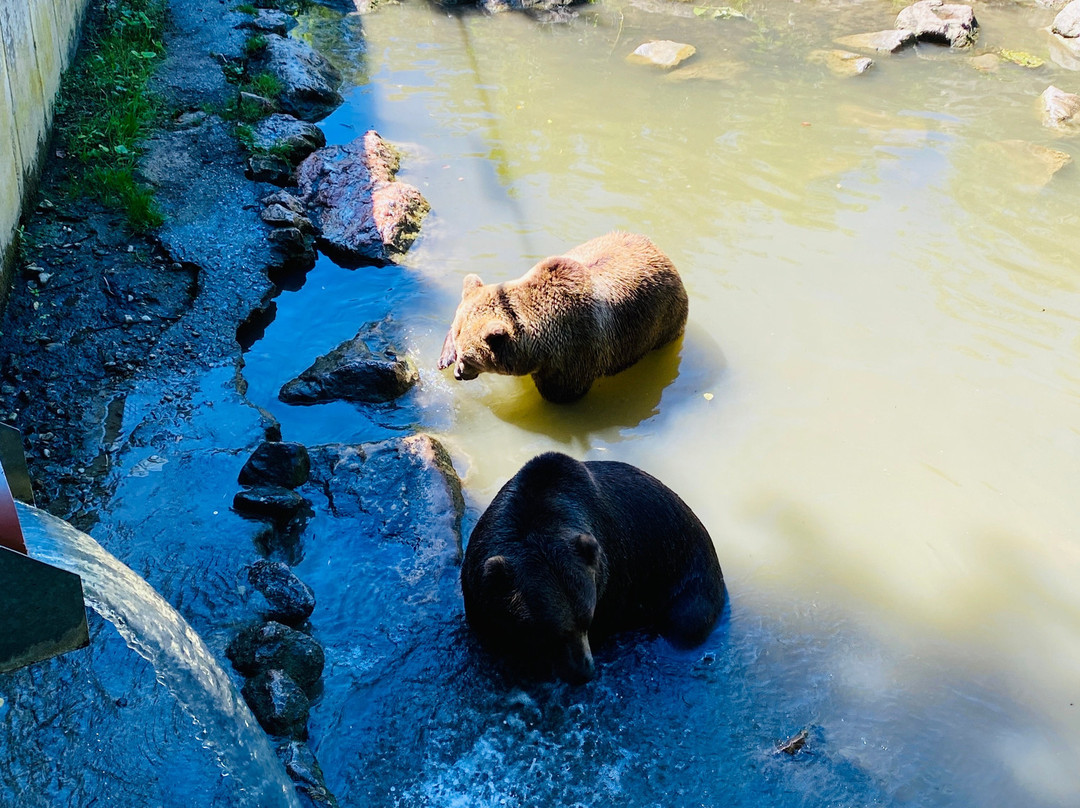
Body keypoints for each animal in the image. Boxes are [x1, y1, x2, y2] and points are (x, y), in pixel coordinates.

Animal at [436, 233, 682, 404]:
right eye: (459, 348)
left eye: (470, 358)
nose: (458, 374)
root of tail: (664, 256)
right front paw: (444, 357)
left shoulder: (577, 353)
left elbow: (562, 395)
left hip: (662, 322)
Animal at [457, 451, 725, 687]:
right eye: (552, 631)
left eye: (588, 618)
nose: (584, 672)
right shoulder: (479, 592)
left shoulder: (614, 572)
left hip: (689, 577)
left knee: (686, 623)